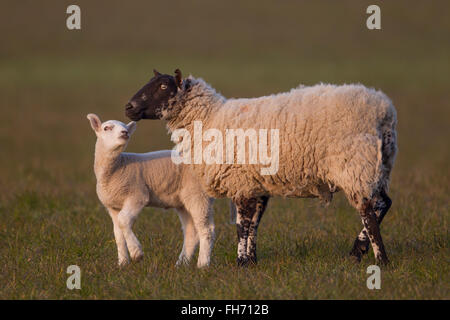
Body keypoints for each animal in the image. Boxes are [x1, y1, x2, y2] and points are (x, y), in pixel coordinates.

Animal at [87, 113, 216, 268]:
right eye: (106, 128)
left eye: (125, 128)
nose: (125, 133)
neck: (117, 168)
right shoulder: (112, 206)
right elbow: (117, 233)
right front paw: (123, 262)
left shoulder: (137, 195)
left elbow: (123, 220)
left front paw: (136, 253)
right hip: (185, 201)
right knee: (192, 232)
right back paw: (181, 264)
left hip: (198, 194)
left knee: (206, 230)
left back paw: (202, 264)